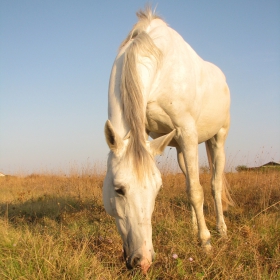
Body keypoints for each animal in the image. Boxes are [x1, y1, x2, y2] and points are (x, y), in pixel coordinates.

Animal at [101, 7, 233, 274]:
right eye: (118, 189)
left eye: (157, 189)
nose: (142, 261)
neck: (158, 64)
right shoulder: (154, 135)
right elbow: (190, 189)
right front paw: (198, 232)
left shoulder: (188, 132)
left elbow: (197, 191)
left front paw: (206, 243)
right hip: (182, 149)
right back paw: (194, 226)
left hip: (218, 138)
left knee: (214, 184)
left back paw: (221, 230)